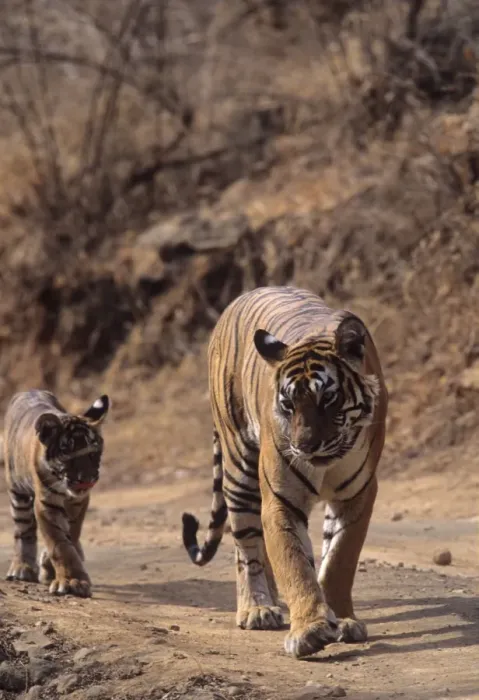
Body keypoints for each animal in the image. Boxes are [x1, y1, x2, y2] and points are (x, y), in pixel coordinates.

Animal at [4, 390, 109, 598]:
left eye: (93, 453)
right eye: (67, 454)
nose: (86, 480)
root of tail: (28, 391)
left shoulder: (78, 502)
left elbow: (71, 535)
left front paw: (54, 569)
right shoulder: (47, 504)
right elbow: (59, 544)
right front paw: (71, 581)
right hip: (17, 492)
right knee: (23, 531)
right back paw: (22, 568)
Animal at [182, 286, 387, 658]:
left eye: (327, 399)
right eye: (288, 404)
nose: (304, 445)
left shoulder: (358, 494)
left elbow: (338, 559)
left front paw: (342, 620)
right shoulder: (280, 499)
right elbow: (294, 563)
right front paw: (309, 630)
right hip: (239, 468)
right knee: (246, 545)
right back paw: (257, 609)